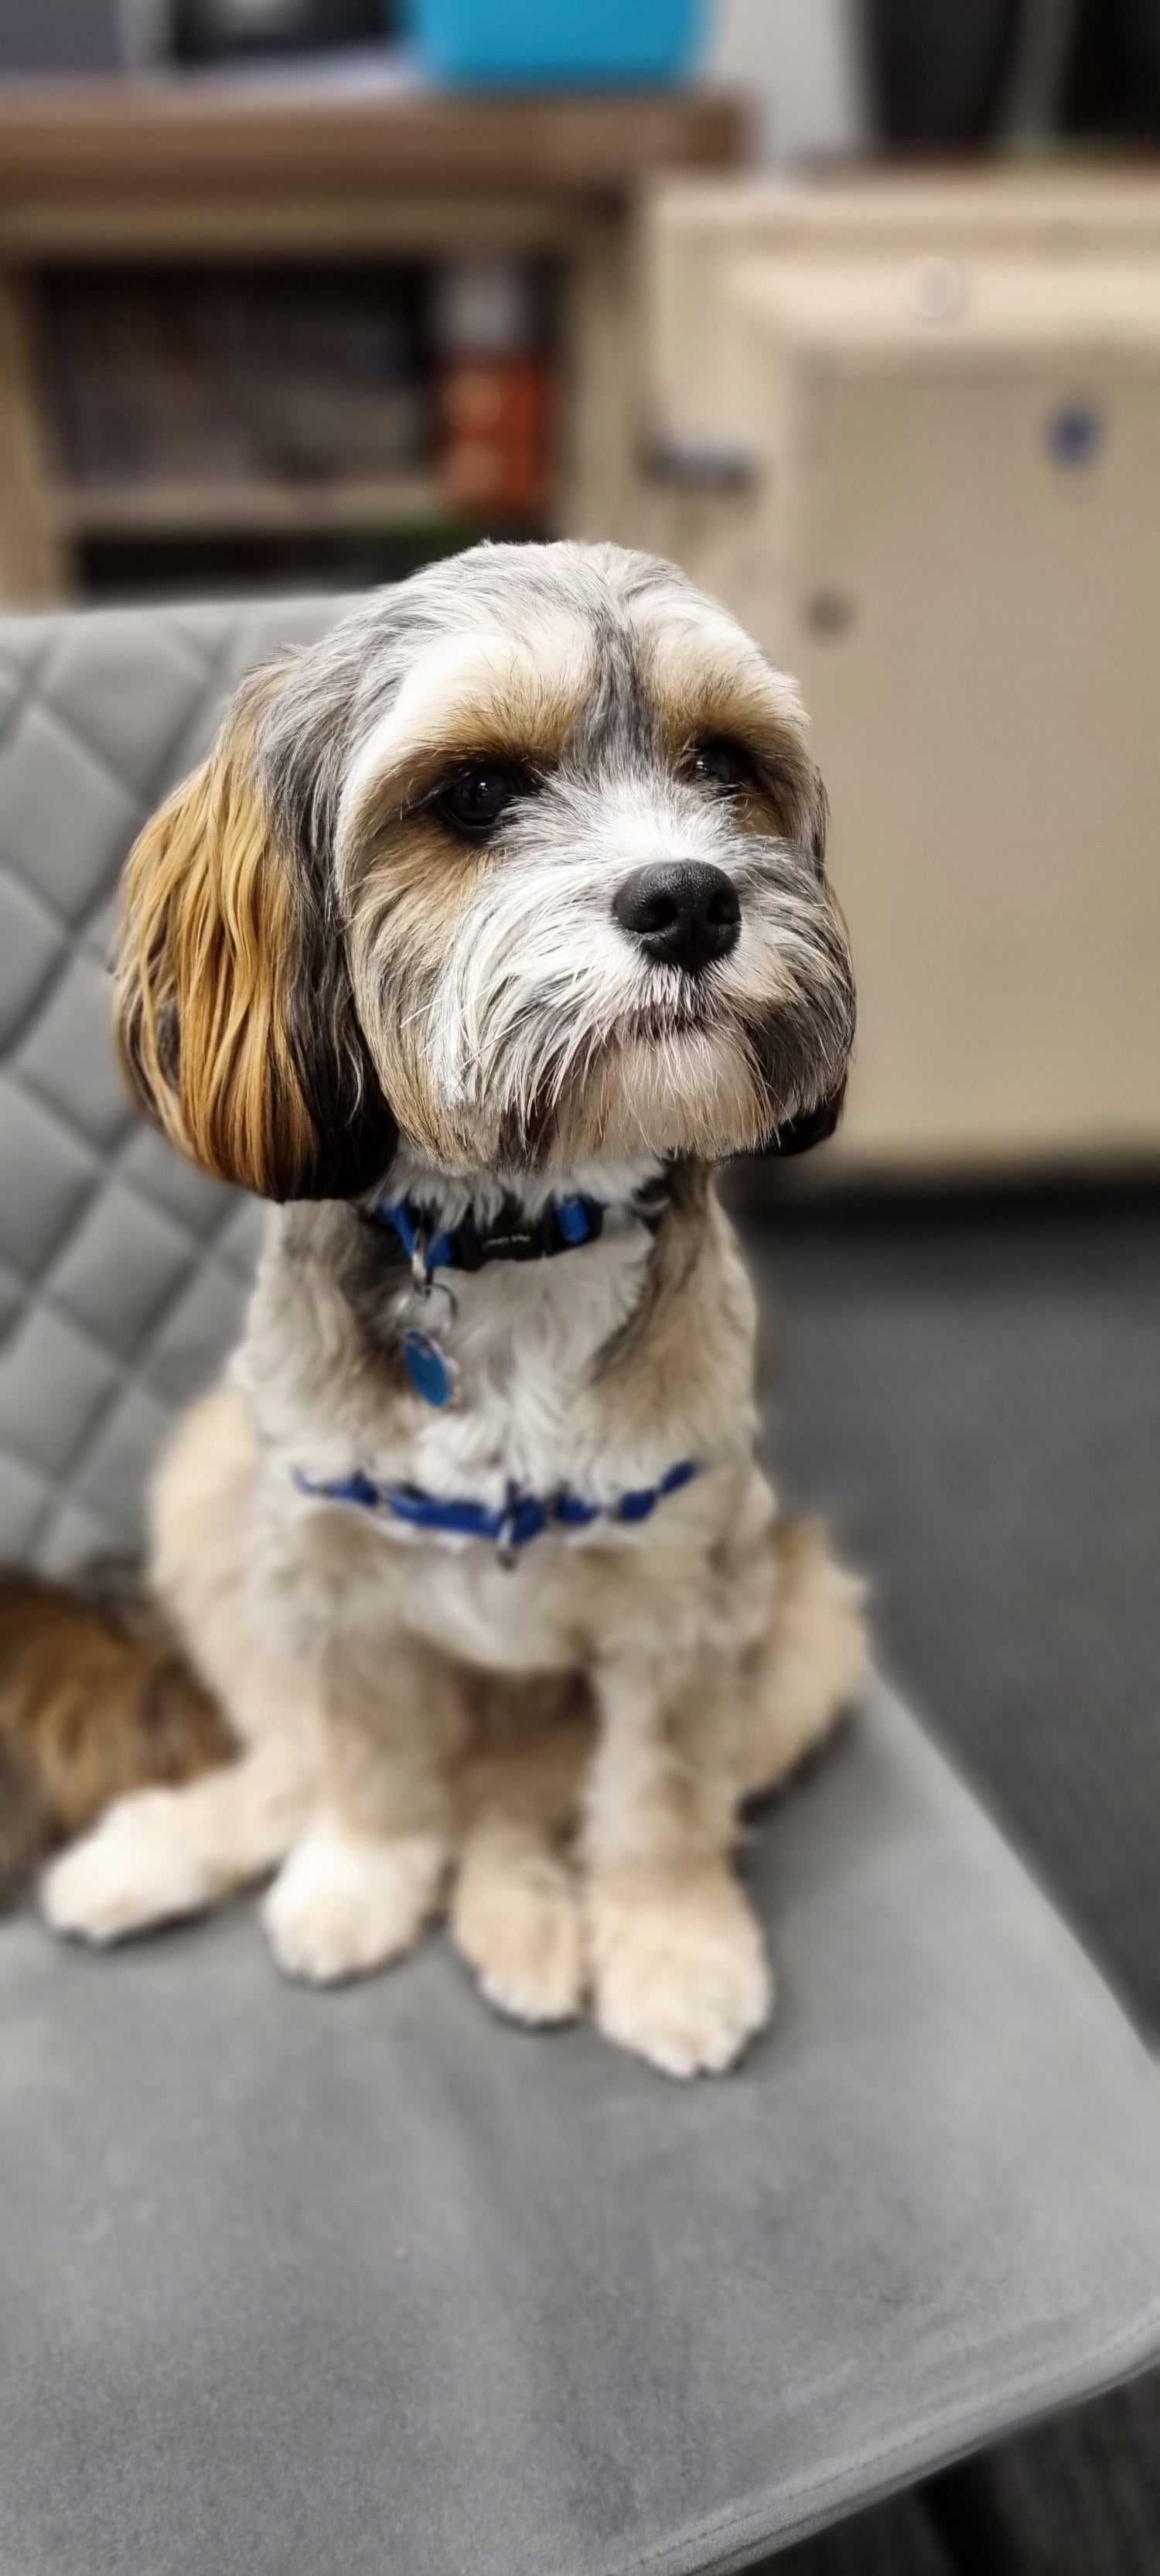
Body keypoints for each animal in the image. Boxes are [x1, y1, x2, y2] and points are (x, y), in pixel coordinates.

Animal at [40, 538, 866, 2071]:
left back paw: (522, 1923)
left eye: (724, 764)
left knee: (518, 1802)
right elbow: (363, 1761)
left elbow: (658, 1798)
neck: (520, 1239)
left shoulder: (691, 1598)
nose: (692, 899)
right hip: (212, 1488)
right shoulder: (328, 1569)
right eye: (477, 792)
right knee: (312, 1760)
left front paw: (672, 1947)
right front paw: (361, 1882)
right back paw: (155, 1854)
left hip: (808, 1627)